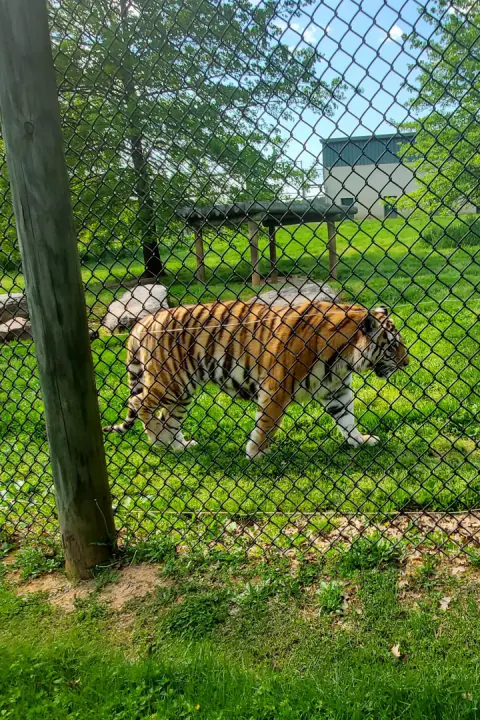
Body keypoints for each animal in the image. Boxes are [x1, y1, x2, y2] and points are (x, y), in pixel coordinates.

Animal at [103, 299, 409, 459]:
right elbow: (267, 424)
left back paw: (177, 445)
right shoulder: (277, 388)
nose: (407, 363)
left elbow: (347, 419)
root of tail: (143, 322)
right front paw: (256, 453)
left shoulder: (336, 390)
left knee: (168, 416)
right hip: (170, 381)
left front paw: (360, 440)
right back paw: (157, 439)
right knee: (140, 403)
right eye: (393, 347)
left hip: (182, 391)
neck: (343, 359)